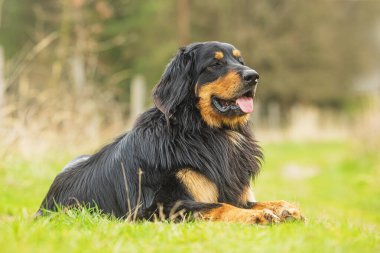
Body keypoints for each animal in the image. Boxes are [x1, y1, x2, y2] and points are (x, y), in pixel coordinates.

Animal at [37, 42, 304, 225]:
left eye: (240, 61)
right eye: (215, 64)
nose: (253, 76)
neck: (206, 132)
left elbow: (254, 201)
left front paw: (284, 208)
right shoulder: (154, 208)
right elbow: (218, 205)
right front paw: (257, 216)